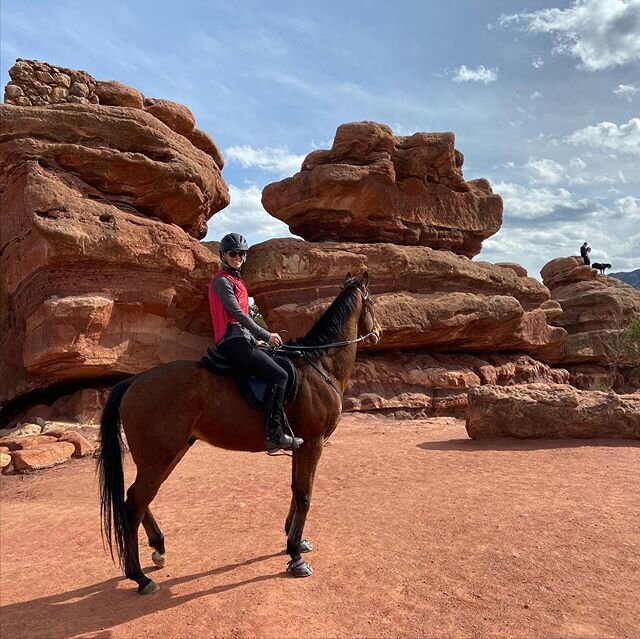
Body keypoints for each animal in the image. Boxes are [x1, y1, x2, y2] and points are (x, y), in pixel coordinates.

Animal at [97, 270, 382, 596]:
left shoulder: (300, 445)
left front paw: (295, 539)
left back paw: (158, 549)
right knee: (134, 503)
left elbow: (294, 490)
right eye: (373, 302)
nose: (378, 333)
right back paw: (140, 577)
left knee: (137, 498)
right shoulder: (312, 444)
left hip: (170, 454)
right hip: (159, 457)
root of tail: (134, 382)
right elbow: (304, 495)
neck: (319, 366)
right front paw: (295, 555)